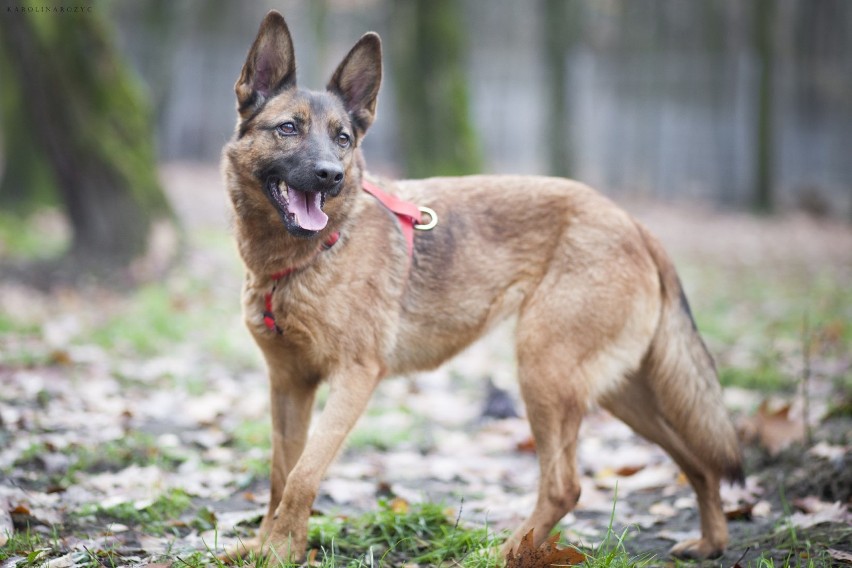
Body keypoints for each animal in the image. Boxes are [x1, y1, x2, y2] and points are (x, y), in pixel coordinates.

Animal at [223, 11, 744, 560]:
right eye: (288, 128)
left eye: (342, 138)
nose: (332, 176)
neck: (307, 257)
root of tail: (635, 224)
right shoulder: (289, 385)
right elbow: (280, 473)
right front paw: (267, 545)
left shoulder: (355, 377)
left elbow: (303, 475)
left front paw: (280, 552)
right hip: (619, 390)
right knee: (698, 460)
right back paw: (712, 540)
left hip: (544, 371)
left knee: (565, 485)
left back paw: (505, 552)